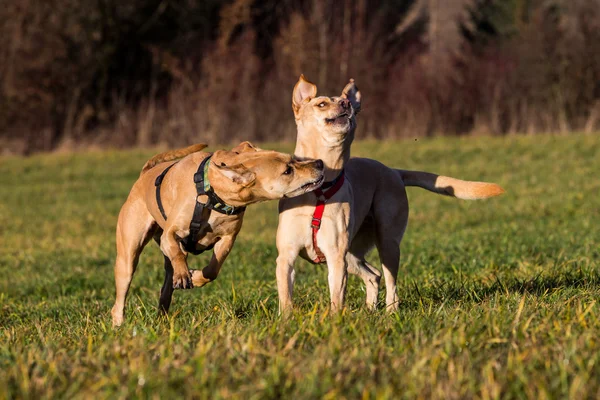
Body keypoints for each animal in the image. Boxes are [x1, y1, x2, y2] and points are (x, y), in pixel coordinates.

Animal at [111, 142, 324, 326]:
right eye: (287, 171)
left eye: (293, 159)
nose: (320, 163)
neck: (214, 191)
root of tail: (144, 174)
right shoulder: (170, 234)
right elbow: (176, 250)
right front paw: (184, 274)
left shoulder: (227, 239)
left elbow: (212, 270)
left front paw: (195, 277)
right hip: (128, 257)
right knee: (120, 297)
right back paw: (119, 324)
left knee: (166, 287)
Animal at [276, 76, 506, 316]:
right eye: (321, 104)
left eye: (344, 101)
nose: (346, 104)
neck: (319, 189)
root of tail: (394, 171)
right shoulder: (286, 257)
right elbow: (285, 296)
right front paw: (286, 320)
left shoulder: (336, 256)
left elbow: (337, 298)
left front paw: (333, 321)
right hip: (353, 253)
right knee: (373, 274)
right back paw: (370, 310)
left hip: (386, 243)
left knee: (390, 283)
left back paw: (390, 313)